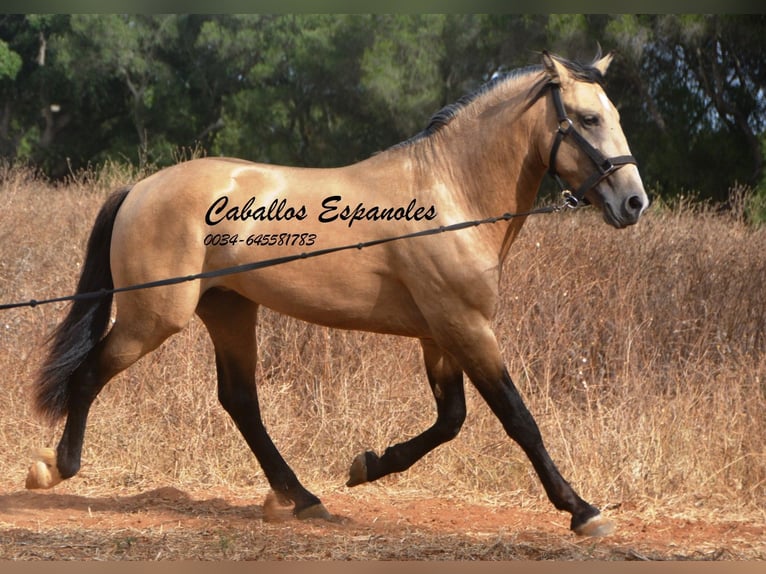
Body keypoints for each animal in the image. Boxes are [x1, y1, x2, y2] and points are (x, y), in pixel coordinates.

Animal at [25, 51, 648, 536]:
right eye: (588, 118)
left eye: (615, 115)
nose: (634, 202)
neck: (448, 194)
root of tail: (141, 187)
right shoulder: (467, 326)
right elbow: (518, 419)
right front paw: (583, 511)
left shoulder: (440, 333)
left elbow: (451, 419)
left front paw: (367, 464)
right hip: (154, 317)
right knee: (90, 373)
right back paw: (55, 468)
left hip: (228, 310)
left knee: (240, 401)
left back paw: (303, 498)